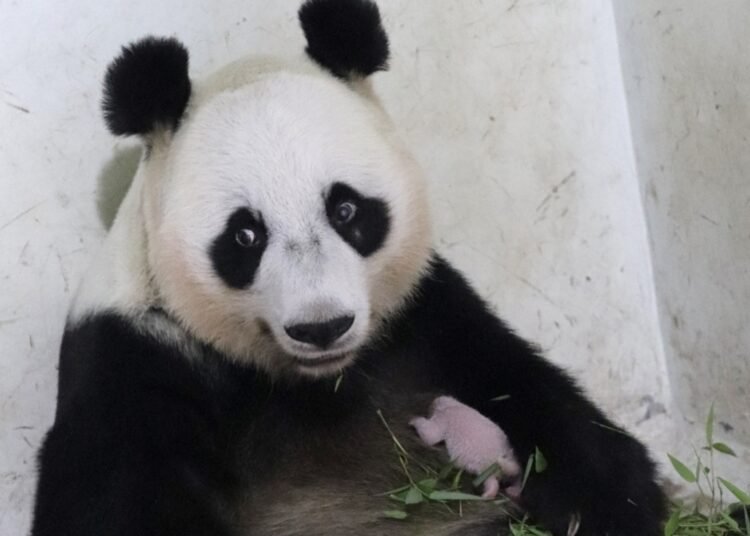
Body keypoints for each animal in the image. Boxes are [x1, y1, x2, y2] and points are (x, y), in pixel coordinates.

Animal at [31, 0, 666, 535]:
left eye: (346, 209)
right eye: (245, 234)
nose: (322, 327)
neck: (311, 381)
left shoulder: (423, 312)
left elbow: (531, 391)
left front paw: (602, 504)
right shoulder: (136, 356)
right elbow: (115, 500)